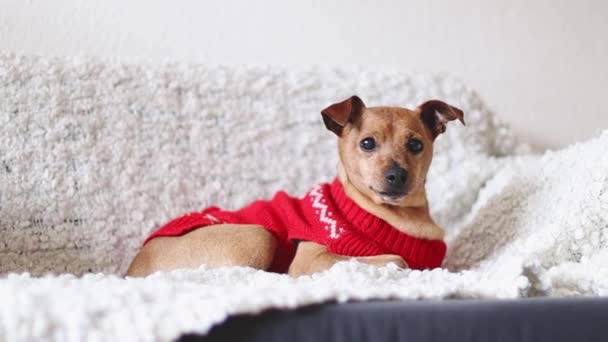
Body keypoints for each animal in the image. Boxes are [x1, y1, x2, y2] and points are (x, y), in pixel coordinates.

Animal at [126, 96, 464, 278]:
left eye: (416, 145)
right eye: (367, 143)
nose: (397, 175)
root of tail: (132, 269)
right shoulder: (312, 260)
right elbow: (398, 259)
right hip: (257, 235)